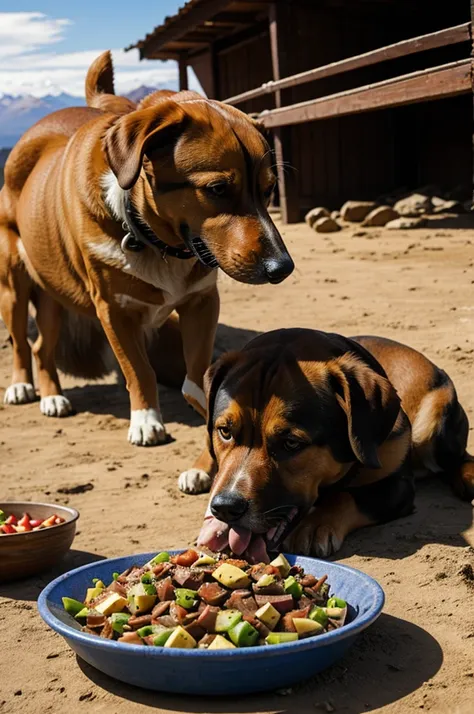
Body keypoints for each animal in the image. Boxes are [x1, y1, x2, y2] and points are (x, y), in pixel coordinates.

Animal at [0, 51, 292, 456]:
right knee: (20, 339)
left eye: (268, 190)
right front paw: (146, 420)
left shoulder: (202, 301)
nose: (282, 267)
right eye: (217, 189)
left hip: (53, 294)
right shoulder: (113, 311)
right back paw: (22, 385)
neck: (157, 241)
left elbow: (197, 370)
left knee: (44, 345)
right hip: (14, 283)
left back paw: (52, 395)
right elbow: (139, 370)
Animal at [193, 326, 474, 560]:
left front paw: (316, 525)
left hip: (434, 423)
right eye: (225, 431)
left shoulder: (398, 486)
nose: (226, 508)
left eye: (291, 443)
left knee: (457, 456)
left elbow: (348, 496)